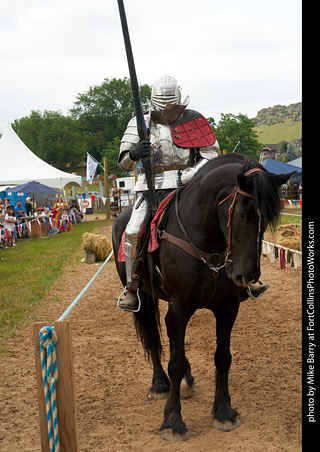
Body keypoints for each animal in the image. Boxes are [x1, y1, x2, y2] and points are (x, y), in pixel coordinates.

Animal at [112, 154, 296, 440]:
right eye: (241, 213)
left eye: (267, 219)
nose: (246, 276)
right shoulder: (179, 308)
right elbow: (175, 361)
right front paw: (173, 421)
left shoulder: (227, 308)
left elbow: (222, 357)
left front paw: (224, 412)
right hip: (142, 296)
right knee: (153, 337)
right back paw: (159, 384)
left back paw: (186, 382)